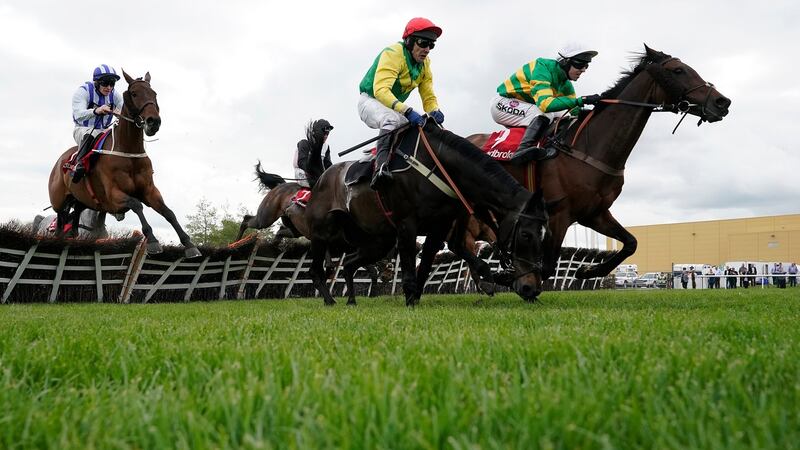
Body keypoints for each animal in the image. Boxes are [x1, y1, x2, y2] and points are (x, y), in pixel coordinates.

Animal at [47, 69, 200, 256]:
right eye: (134, 93)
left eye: (154, 93)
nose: (153, 122)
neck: (129, 153)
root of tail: (59, 163)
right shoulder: (113, 196)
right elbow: (137, 205)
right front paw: (153, 241)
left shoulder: (149, 190)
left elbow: (169, 212)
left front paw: (189, 244)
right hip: (59, 201)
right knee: (61, 222)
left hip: (82, 201)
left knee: (75, 217)